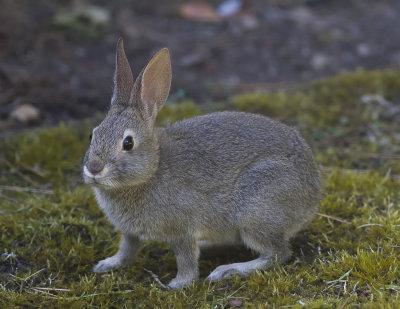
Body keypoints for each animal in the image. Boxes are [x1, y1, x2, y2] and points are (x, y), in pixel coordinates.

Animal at [82, 39, 322, 288]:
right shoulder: (130, 232)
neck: (152, 169)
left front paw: (178, 285)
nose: (94, 168)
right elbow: (127, 249)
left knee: (278, 253)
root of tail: (313, 193)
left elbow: (186, 258)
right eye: (92, 134)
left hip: (257, 209)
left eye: (128, 143)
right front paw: (107, 264)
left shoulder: (182, 229)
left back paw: (227, 271)